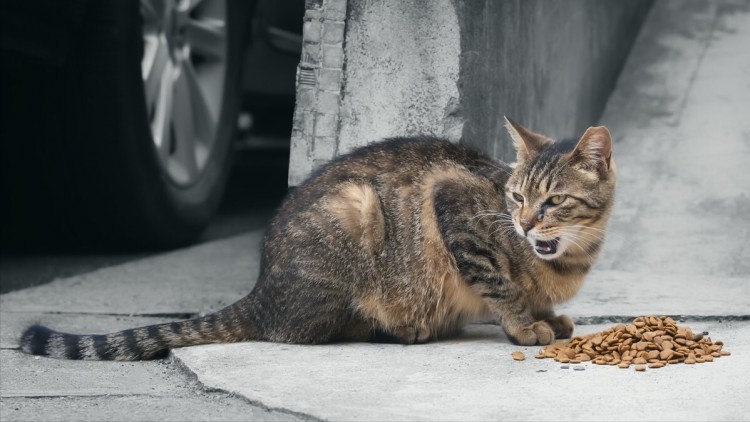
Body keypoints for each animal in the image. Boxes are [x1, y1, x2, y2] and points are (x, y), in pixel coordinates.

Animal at [19, 118, 616, 360]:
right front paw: (525, 323)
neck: (564, 258)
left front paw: (549, 315)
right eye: (515, 197)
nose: (525, 223)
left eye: (553, 201)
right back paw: (398, 329)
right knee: (304, 332)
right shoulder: (452, 204)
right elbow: (501, 286)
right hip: (352, 211)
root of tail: (262, 290)